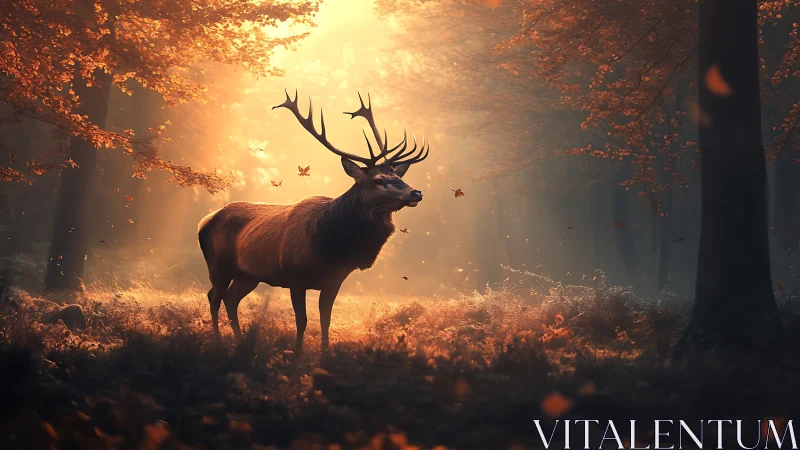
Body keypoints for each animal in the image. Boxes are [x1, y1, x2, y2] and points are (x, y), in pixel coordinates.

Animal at [197, 90, 429, 355]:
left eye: (398, 176)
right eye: (379, 180)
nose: (416, 193)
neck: (328, 246)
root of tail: (204, 221)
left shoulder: (334, 279)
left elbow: (325, 319)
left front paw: (324, 355)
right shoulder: (294, 274)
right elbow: (302, 320)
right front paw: (297, 355)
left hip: (248, 274)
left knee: (230, 298)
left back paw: (241, 342)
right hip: (217, 264)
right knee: (213, 297)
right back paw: (218, 342)